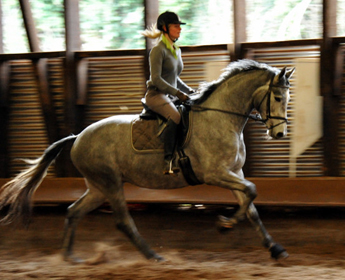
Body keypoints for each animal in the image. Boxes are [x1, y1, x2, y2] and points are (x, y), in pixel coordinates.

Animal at [0, 59, 294, 262]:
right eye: (278, 97)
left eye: (288, 98)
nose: (279, 134)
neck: (221, 117)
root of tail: (78, 137)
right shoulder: (215, 173)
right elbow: (252, 193)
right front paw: (225, 224)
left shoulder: (235, 172)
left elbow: (251, 206)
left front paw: (275, 248)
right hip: (110, 183)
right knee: (122, 221)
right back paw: (153, 255)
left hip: (97, 187)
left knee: (73, 212)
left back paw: (69, 257)